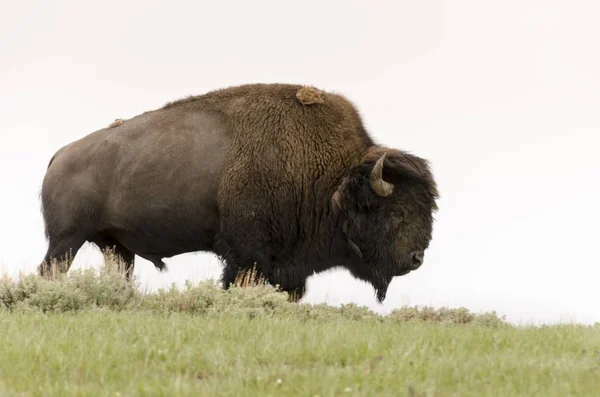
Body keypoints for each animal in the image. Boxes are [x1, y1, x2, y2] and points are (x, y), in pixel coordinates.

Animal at [38, 83, 440, 300]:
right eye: (397, 211)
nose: (416, 258)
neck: (332, 177)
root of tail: (60, 155)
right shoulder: (248, 254)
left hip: (115, 247)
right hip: (67, 241)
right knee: (50, 270)